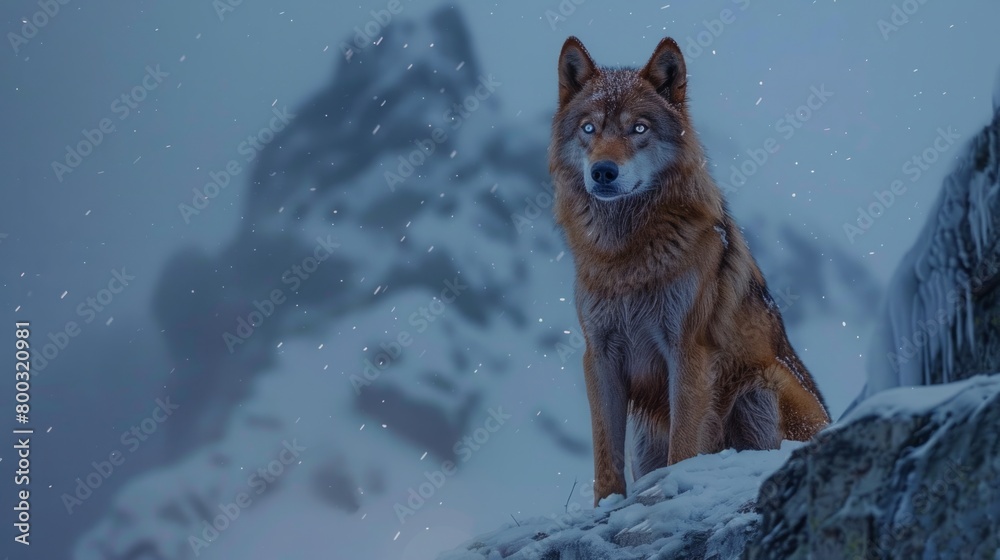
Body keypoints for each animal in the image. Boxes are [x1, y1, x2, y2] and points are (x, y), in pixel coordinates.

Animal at [549, 36, 831, 504]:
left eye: (639, 129)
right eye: (589, 129)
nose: (603, 171)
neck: (626, 257)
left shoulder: (687, 350)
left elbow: (683, 443)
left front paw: (673, 488)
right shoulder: (599, 356)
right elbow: (605, 453)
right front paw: (608, 504)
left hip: (761, 386)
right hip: (646, 435)